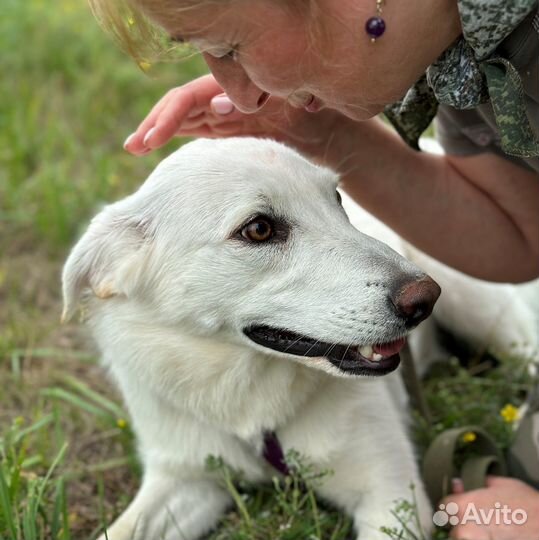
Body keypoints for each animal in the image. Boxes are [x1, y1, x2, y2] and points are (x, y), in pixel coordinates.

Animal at [62, 138, 442, 540]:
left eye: (336, 198)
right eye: (258, 229)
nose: (425, 299)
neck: (250, 407)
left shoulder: (391, 494)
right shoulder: (184, 479)